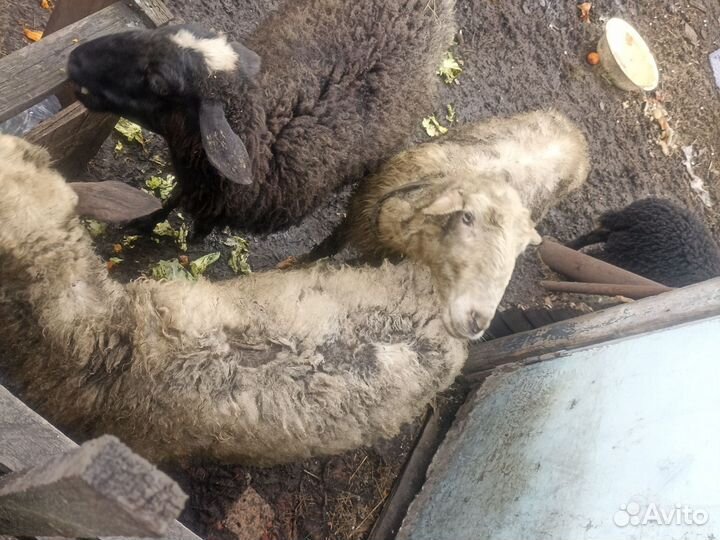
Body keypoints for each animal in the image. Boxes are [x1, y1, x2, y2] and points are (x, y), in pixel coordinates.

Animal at [310, 110, 591, 326]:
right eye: (467, 217)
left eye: (519, 251)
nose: (478, 320)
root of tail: (578, 135)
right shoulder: (356, 211)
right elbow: (325, 247)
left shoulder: (380, 256)